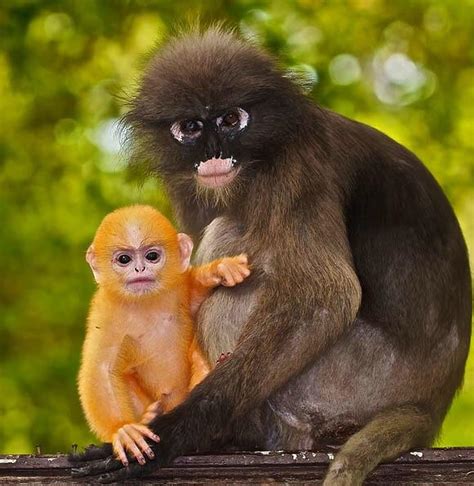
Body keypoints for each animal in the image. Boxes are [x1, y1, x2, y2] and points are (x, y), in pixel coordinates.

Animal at [72, 28, 472, 484]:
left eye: (231, 120)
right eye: (191, 126)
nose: (213, 152)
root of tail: (430, 408)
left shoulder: (296, 168)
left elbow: (325, 295)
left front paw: (172, 435)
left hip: (348, 383)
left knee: (229, 254)